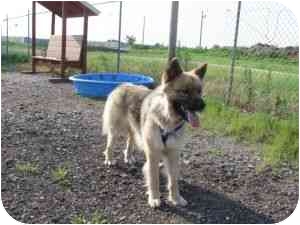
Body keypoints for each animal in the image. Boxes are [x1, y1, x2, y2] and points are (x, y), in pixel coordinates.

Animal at [102, 57, 207, 207]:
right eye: (184, 91)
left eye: (199, 91)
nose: (203, 105)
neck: (168, 121)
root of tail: (122, 85)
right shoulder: (153, 154)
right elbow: (154, 179)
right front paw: (154, 198)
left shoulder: (173, 154)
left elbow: (173, 180)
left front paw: (176, 198)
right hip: (115, 130)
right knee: (109, 146)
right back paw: (109, 160)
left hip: (134, 130)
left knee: (129, 141)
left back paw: (128, 157)